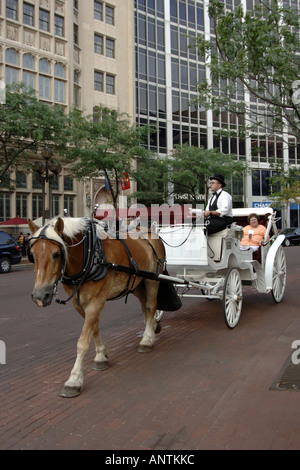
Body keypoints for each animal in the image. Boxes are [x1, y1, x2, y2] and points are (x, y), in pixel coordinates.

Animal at [27, 217, 166, 396]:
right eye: (32, 255)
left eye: (56, 254)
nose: (39, 296)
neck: (89, 255)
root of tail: (150, 232)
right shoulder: (79, 304)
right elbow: (94, 330)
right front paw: (101, 356)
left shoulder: (95, 302)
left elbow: (82, 342)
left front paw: (74, 380)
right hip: (135, 282)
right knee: (144, 304)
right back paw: (153, 326)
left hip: (152, 280)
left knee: (150, 305)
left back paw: (147, 340)